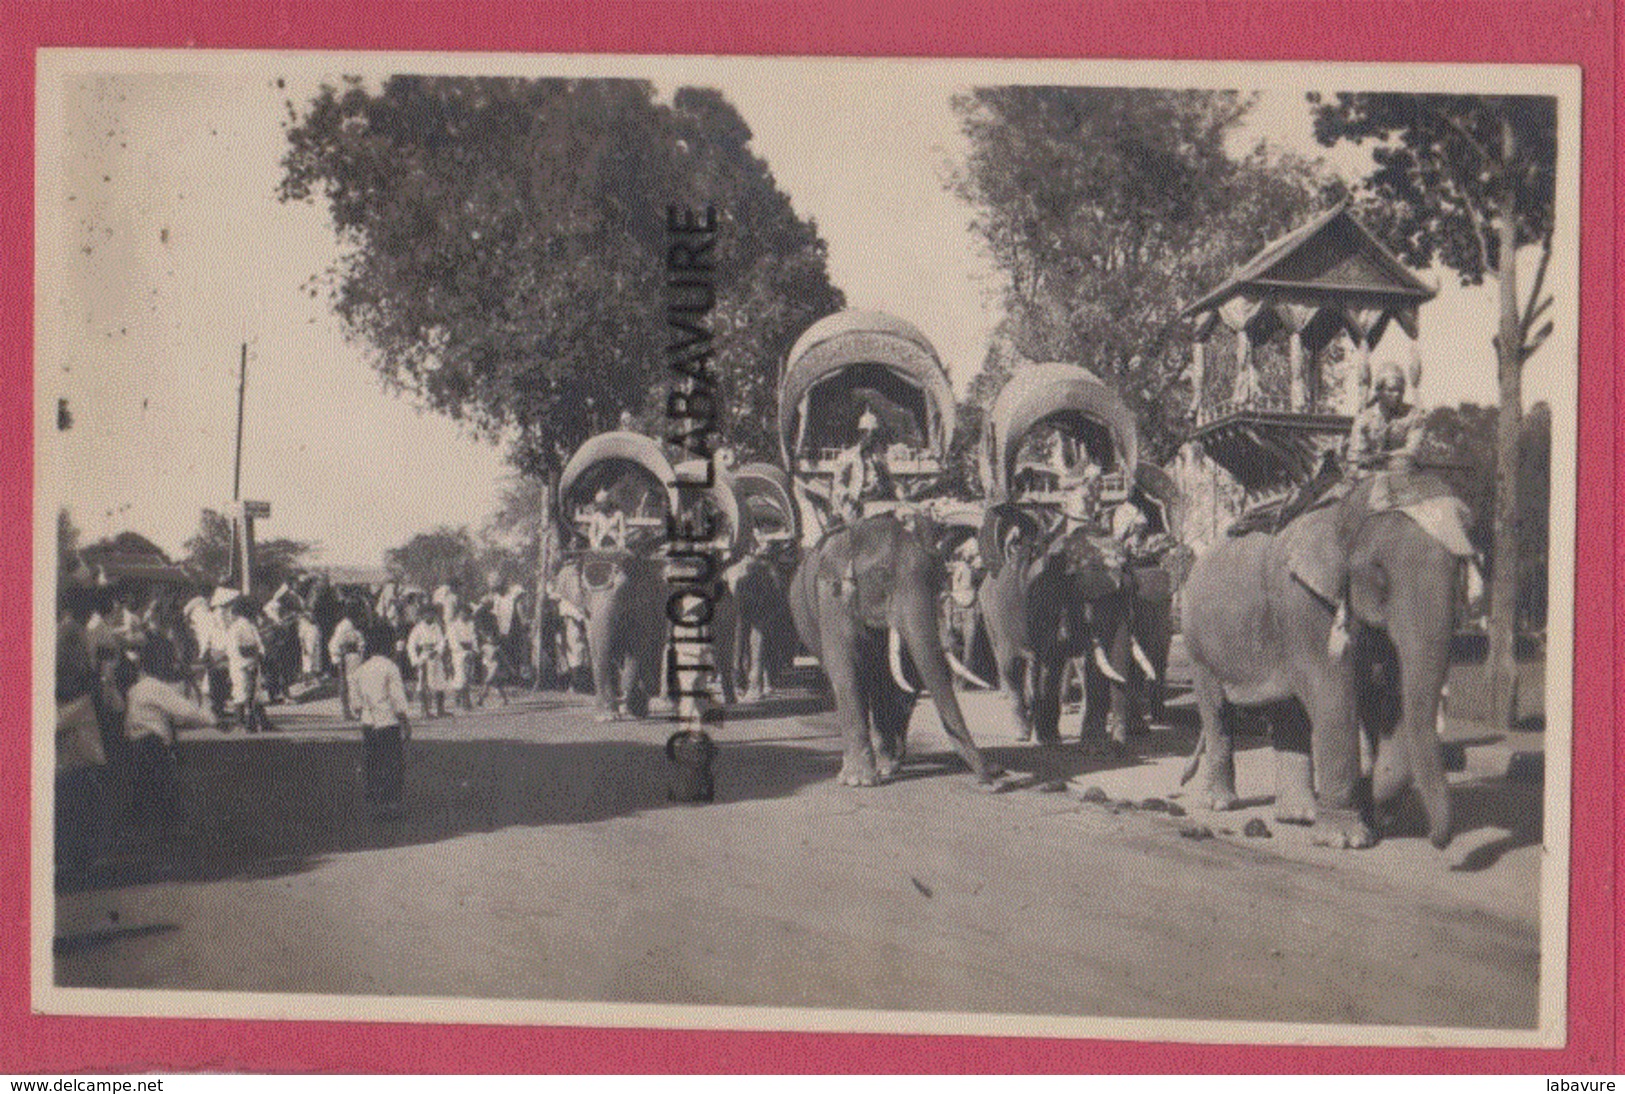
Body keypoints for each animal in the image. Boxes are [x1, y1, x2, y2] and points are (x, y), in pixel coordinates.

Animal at [789, 513, 994, 786]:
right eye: (882, 577)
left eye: (936, 576)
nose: (995, 779)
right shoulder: (832, 598)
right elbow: (845, 669)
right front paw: (859, 781)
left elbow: (893, 678)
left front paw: (885, 768)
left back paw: (886, 763)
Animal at [1183, 468, 1475, 845]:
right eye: (1379, 570)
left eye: (1460, 566)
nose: (1438, 840)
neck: (1343, 511)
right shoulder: (1302, 602)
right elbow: (1334, 695)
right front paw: (1347, 838)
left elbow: (1391, 697)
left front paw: (1376, 811)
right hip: (1197, 644)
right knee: (1216, 710)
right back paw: (1222, 804)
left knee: (1288, 712)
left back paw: (1299, 816)